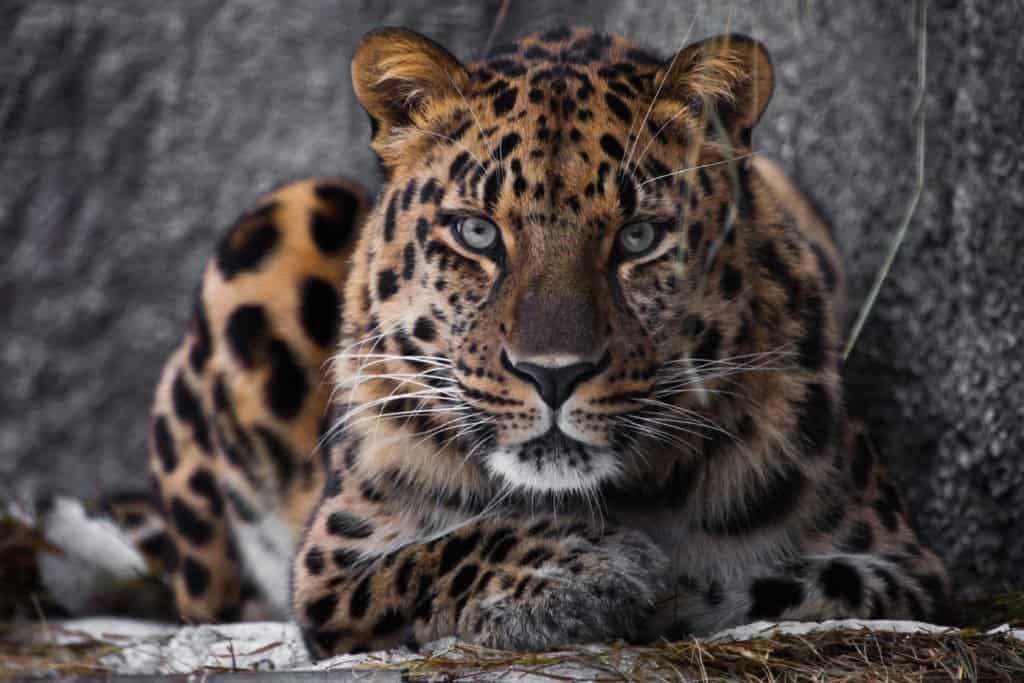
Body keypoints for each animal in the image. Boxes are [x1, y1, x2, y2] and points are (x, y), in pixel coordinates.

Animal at [75, 25, 946, 655]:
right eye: (476, 233)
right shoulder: (329, 563)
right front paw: (579, 572)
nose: (552, 375)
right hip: (283, 218)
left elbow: (776, 581)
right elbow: (439, 551)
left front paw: (650, 582)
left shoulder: (910, 571)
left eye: (638, 238)